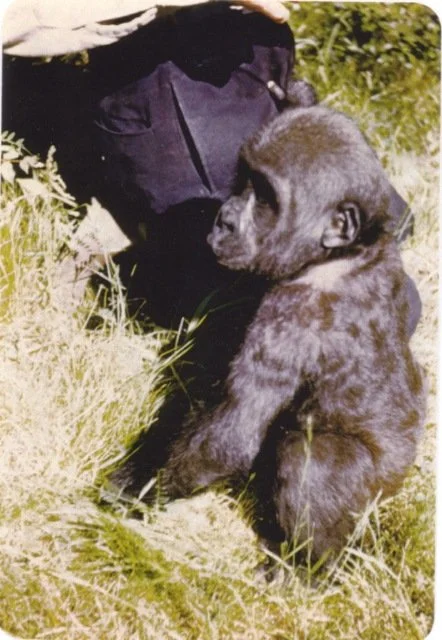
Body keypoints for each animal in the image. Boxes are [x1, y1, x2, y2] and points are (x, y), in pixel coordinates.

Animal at [114, 105, 425, 564]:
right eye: (245, 179)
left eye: (265, 197)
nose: (224, 218)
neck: (338, 255)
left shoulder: (290, 320)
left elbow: (231, 436)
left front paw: (136, 496)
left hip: (375, 488)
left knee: (310, 457)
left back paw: (307, 566)